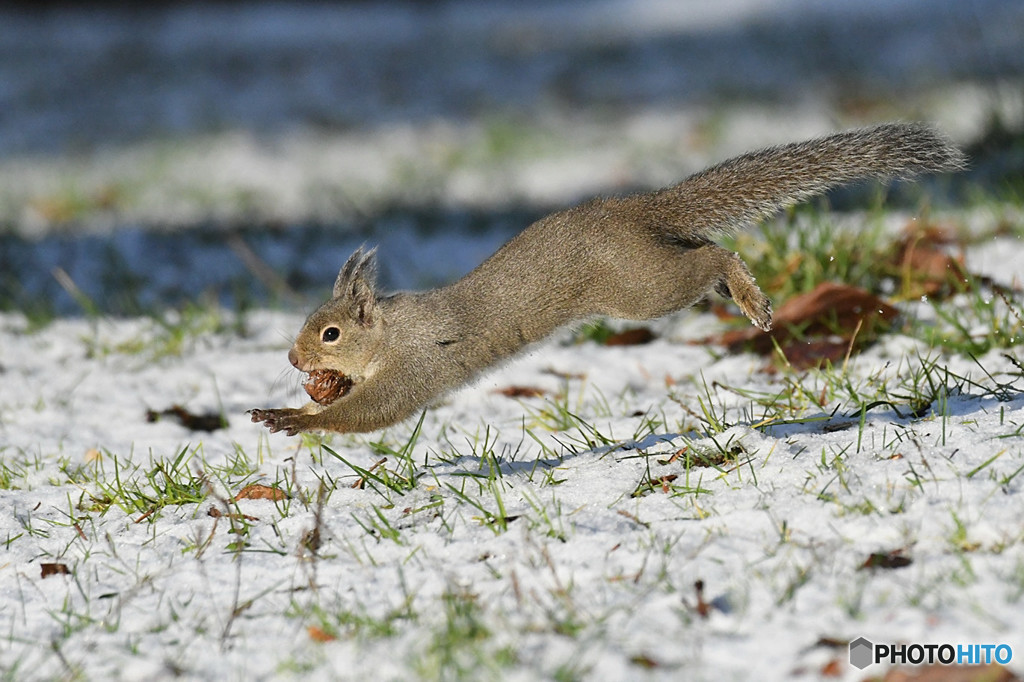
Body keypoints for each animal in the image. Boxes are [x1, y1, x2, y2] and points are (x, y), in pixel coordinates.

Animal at [251, 120, 962, 436]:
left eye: (330, 333)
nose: (292, 359)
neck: (389, 331)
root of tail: (637, 209)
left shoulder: (420, 362)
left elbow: (375, 411)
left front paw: (291, 419)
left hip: (641, 288)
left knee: (712, 257)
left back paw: (750, 296)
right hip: (653, 268)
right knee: (705, 249)